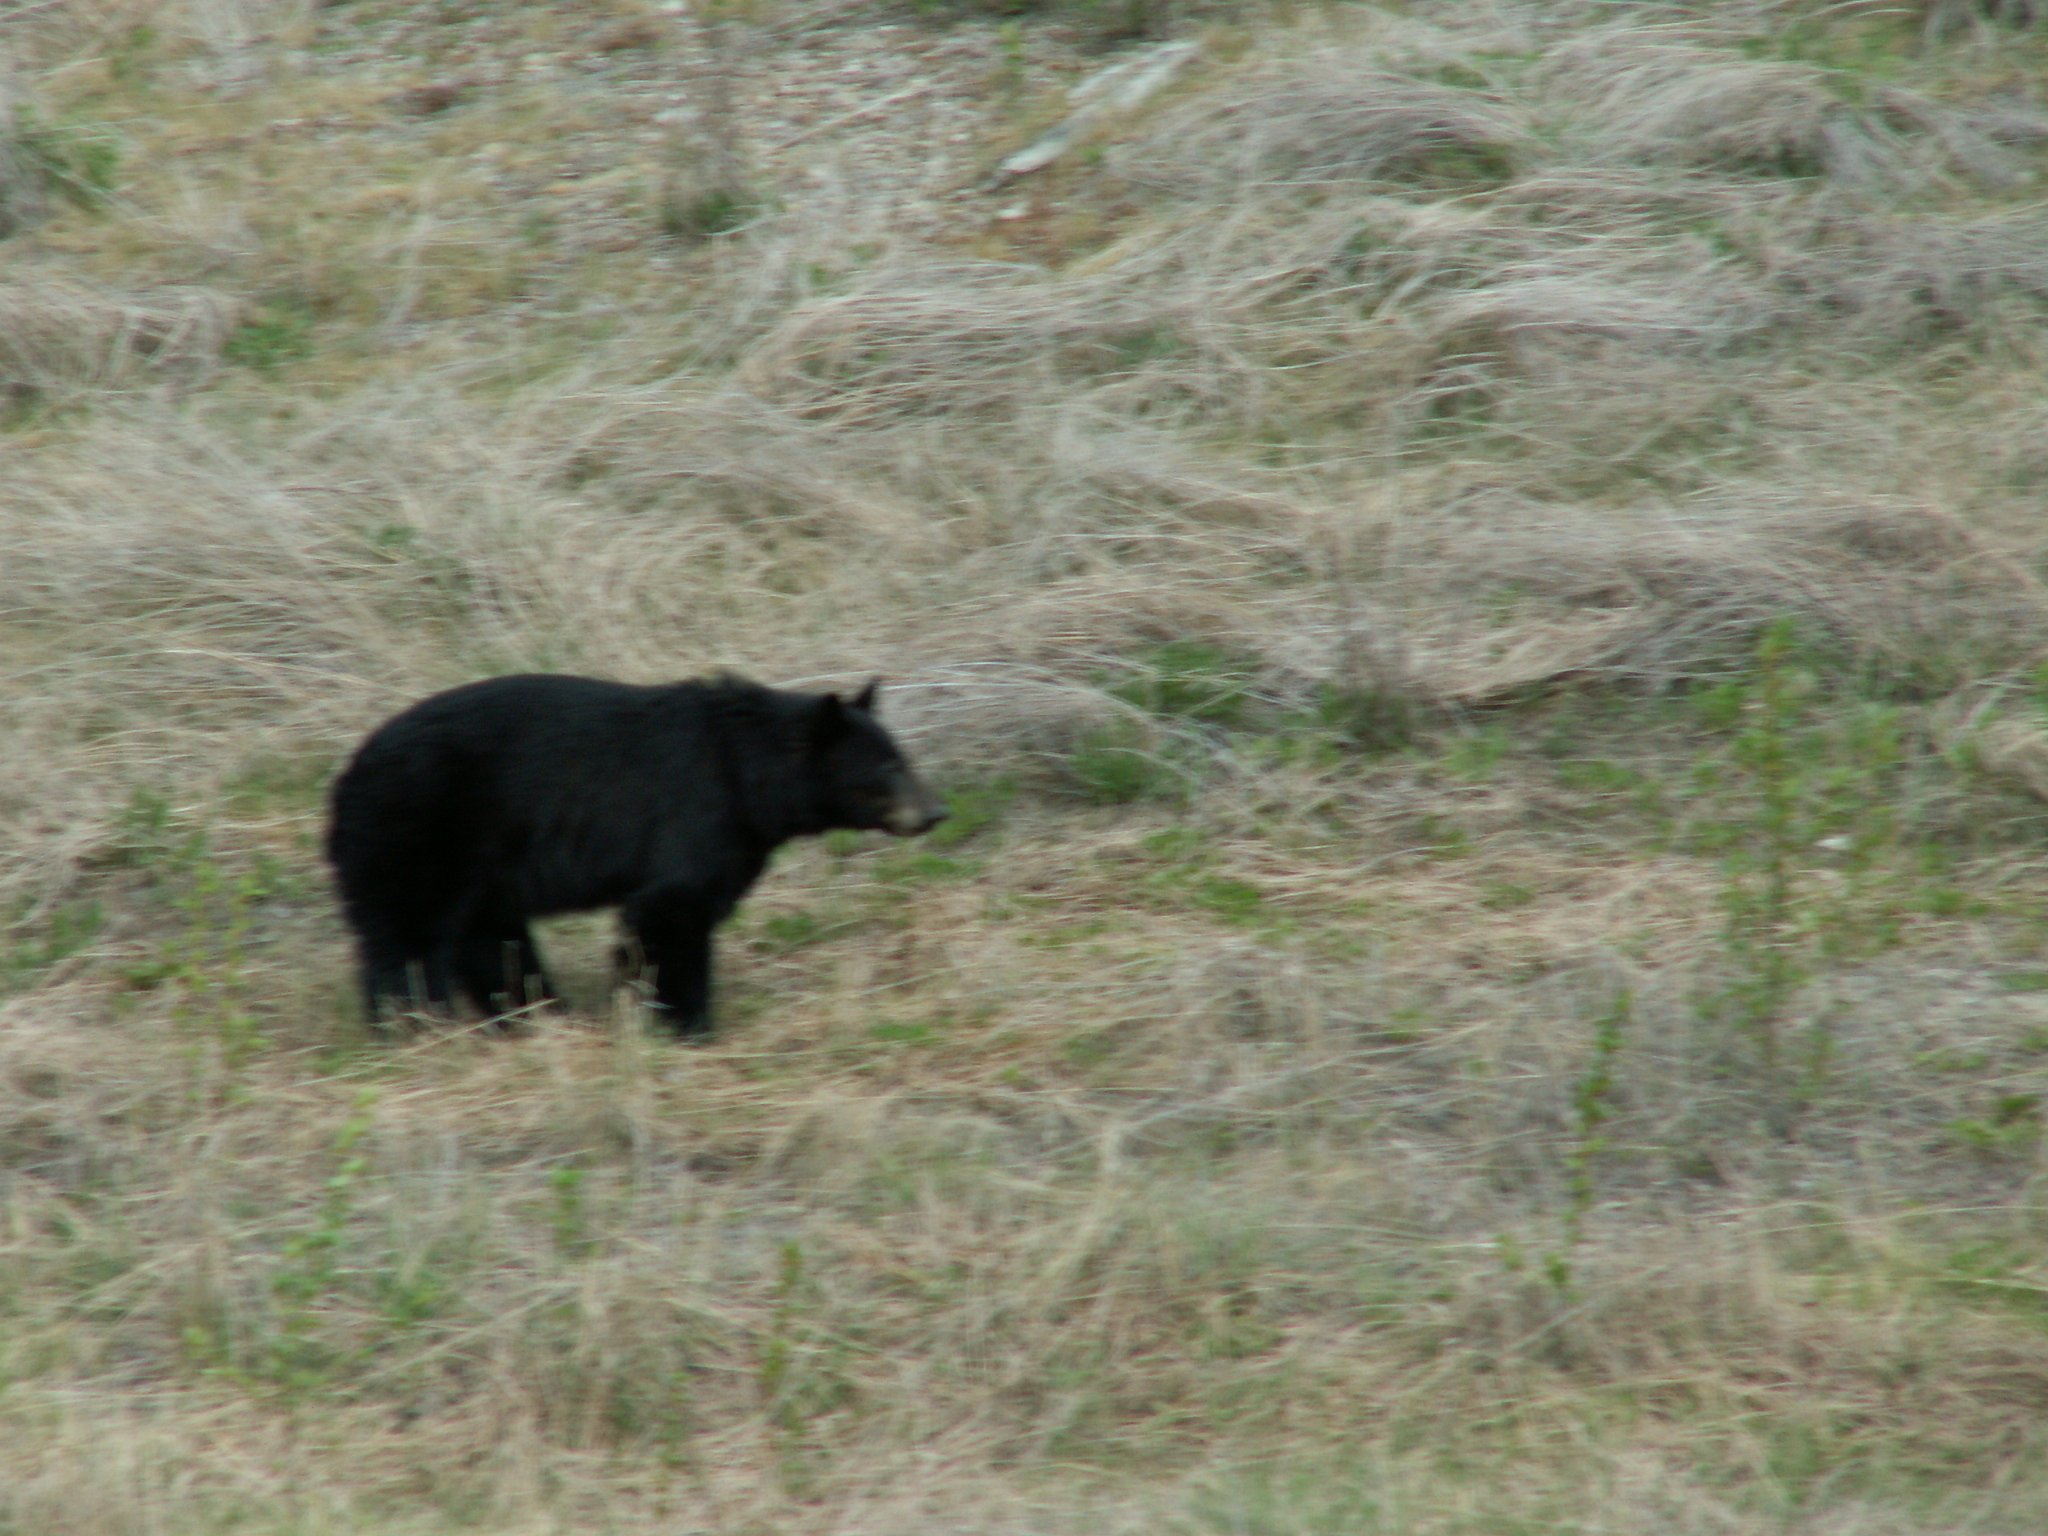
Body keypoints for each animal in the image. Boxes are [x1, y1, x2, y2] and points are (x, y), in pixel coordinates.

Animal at [325, 673, 945, 1035]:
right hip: (419, 831)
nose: (936, 812)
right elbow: (673, 911)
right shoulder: (698, 815)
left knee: (488, 939)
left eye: (902, 756)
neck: (749, 776)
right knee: (408, 936)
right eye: (888, 765)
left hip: (478, 866)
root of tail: (345, 779)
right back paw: (414, 1021)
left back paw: (538, 1011)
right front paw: (686, 1020)